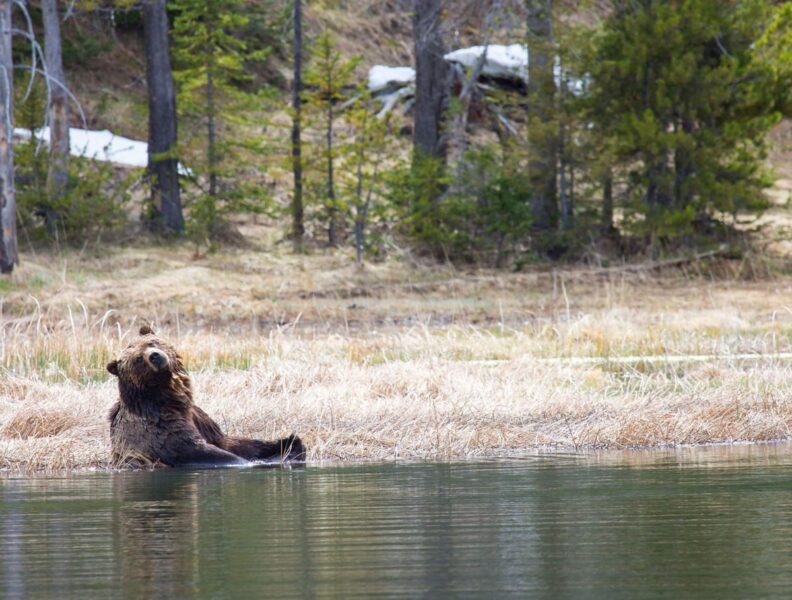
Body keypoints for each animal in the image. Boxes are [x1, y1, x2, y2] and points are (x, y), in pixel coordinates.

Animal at [106, 325, 305, 468]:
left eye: (151, 343)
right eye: (138, 359)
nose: (154, 356)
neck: (170, 400)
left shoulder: (198, 418)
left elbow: (228, 441)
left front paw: (287, 442)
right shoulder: (161, 430)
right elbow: (202, 451)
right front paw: (273, 458)